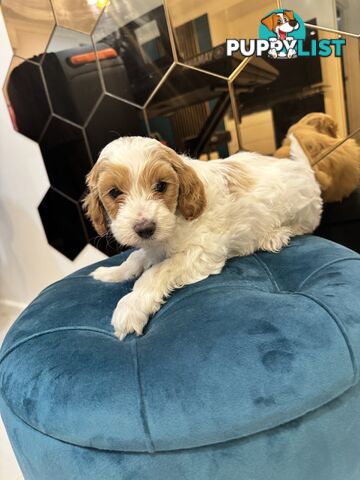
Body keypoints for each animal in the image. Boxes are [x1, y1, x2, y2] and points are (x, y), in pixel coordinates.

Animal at [84, 135, 324, 340]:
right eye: (114, 192)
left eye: (161, 186)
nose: (145, 229)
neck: (176, 217)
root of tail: (304, 169)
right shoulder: (154, 246)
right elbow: (135, 258)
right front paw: (112, 272)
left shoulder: (203, 251)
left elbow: (155, 272)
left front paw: (131, 306)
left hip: (303, 211)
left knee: (302, 227)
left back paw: (275, 236)